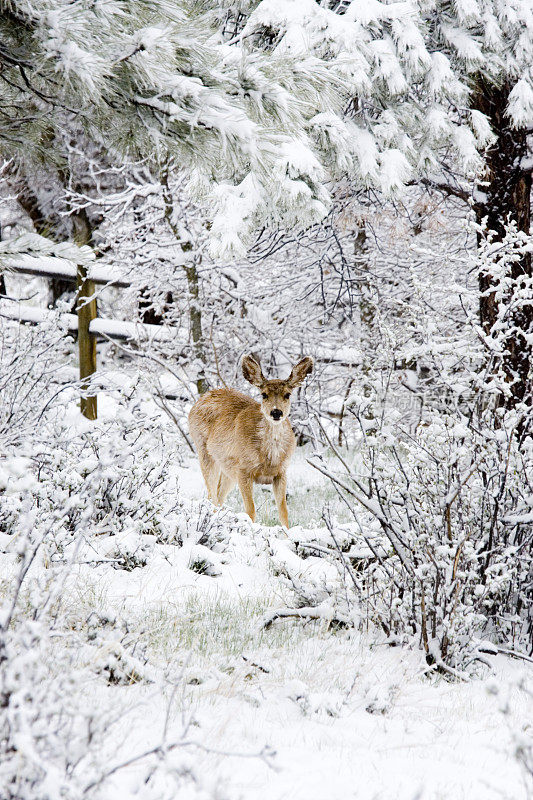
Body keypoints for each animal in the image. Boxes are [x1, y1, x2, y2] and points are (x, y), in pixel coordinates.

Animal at [187, 354, 312, 528]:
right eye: (264, 394)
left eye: (287, 394)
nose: (276, 412)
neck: (269, 458)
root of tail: (202, 398)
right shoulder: (243, 470)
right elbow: (250, 511)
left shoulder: (281, 472)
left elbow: (284, 512)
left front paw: (287, 533)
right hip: (204, 451)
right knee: (212, 495)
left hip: (227, 467)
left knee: (218, 495)